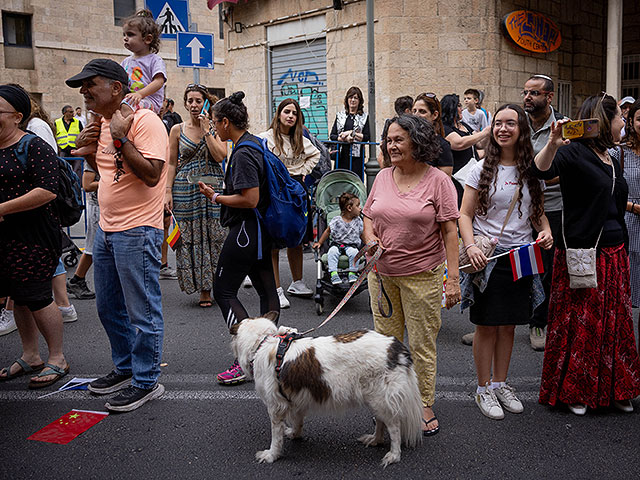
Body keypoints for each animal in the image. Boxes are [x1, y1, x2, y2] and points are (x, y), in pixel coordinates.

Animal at [231, 314, 424, 466]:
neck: (262, 342)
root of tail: (396, 347)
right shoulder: (296, 399)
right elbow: (298, 420)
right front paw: (294, 434)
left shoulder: (275, 407)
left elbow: (276, 437)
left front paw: (271, 455)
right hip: (375, 399)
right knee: (381, 422)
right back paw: (375, 440)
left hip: (381, 399)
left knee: (394, 427)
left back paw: (394, 454)